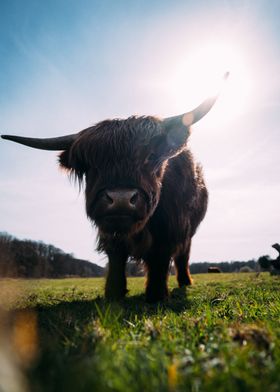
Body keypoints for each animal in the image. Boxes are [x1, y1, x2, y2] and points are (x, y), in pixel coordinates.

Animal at [0, 76, 228, 304]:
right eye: (92, 165)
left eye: (150, 157)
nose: (121, 199)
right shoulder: (109, 231)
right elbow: (116, 258)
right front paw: (113, 294)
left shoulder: (170, 226)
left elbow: (159, 258)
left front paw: (156, 295)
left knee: (183, 255)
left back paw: (185, 282)